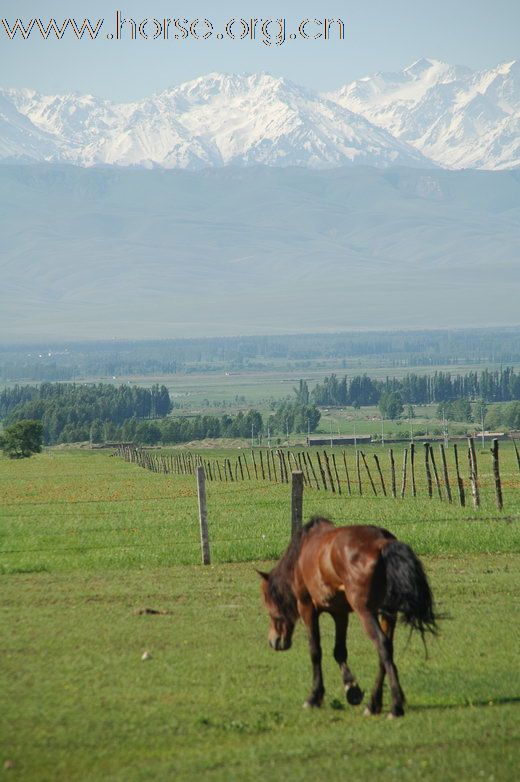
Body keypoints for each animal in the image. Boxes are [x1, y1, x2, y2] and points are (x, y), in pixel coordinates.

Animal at [258, 516, 436, 720]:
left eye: (268, 603)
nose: (274, 641)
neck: (301, 555)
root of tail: (382, 543)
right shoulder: (340, 613)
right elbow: (339, 652)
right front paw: (352, 689)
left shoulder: (307, 607)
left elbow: (315, 651)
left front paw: (314, 696)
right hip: (388, 613)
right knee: (385, 652)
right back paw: (374, 704)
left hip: (365, 612)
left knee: (382, 644)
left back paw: (396, 706)